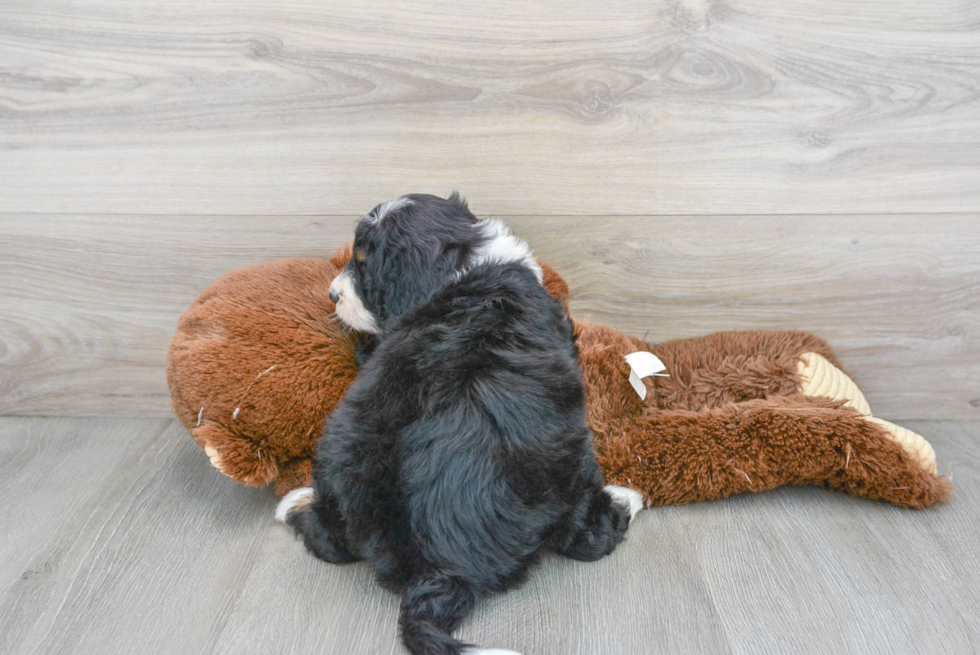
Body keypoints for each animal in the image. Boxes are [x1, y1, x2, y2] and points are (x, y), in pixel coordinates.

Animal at [276, 192, 644, 652]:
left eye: (363, 264)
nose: (331, 295)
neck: (463, 267)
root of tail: (441, 569)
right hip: (569, 458)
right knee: (587, 533)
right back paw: (628, 499)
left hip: (343, 443)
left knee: (332, 539)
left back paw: (295, 502)